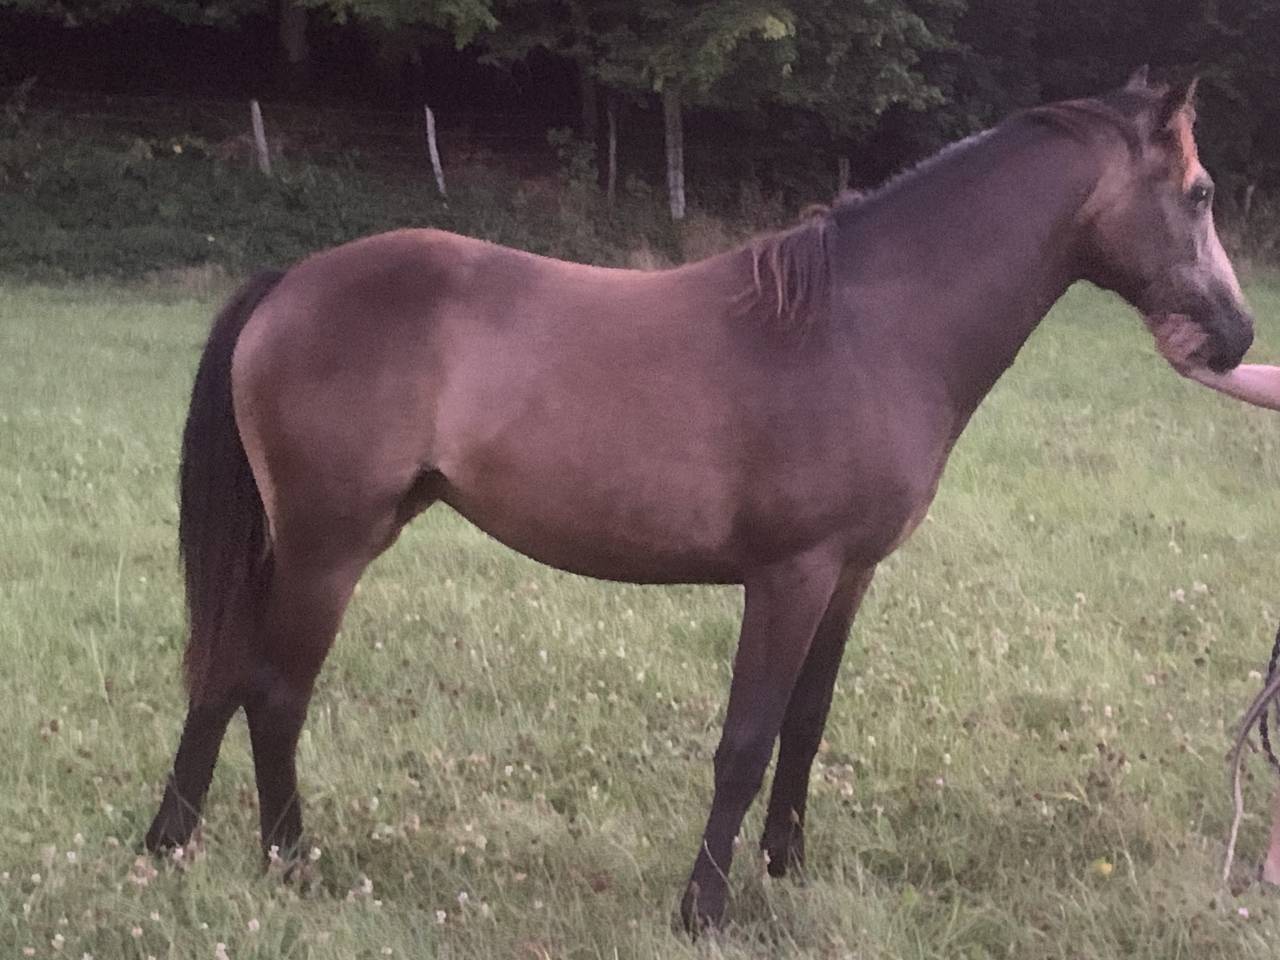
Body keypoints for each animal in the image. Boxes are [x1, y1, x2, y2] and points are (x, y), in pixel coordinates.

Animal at [144, 70, 1253, 931]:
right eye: (1200, 193)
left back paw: (167, 847)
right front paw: (704, 909)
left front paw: (786, 874)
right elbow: (746, 741)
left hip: (291, 543)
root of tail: (289, 282)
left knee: (222, 673)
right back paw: (290, 864)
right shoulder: (790, 575)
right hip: (329, 546)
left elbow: (805, 726)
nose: (1236, 336)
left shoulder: (847, 577)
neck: (868, 326)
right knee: (274, 693)